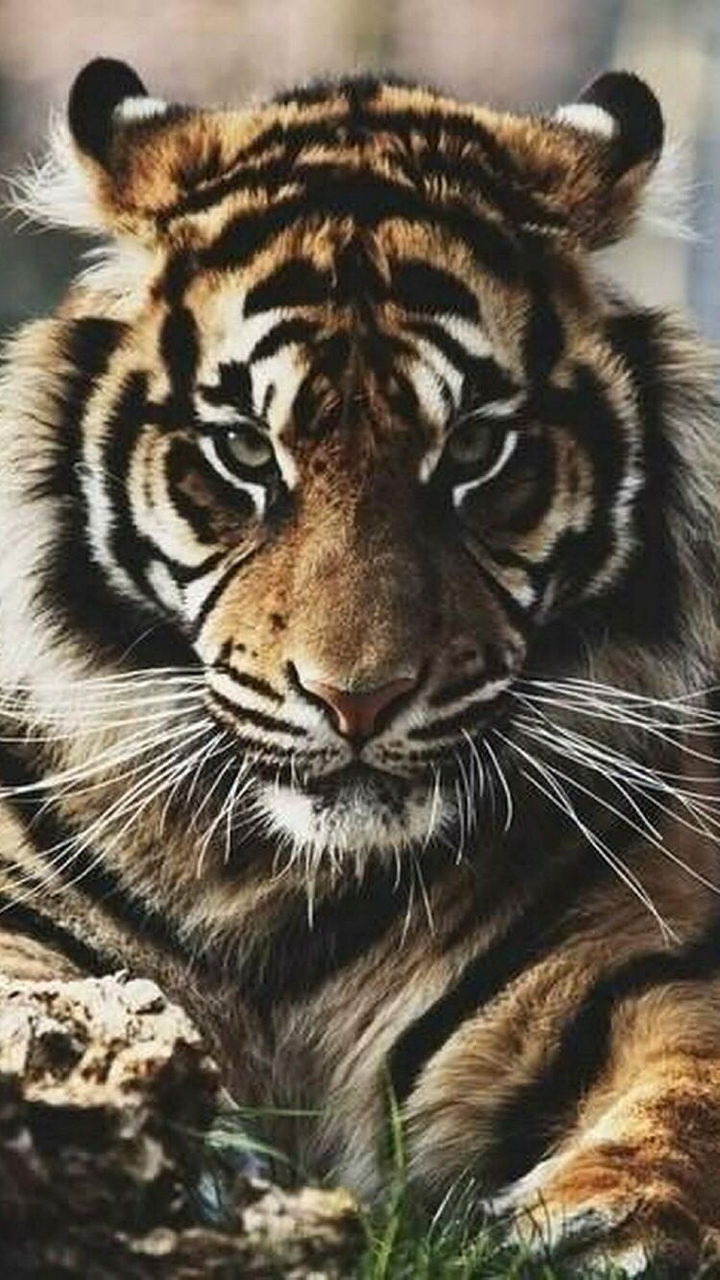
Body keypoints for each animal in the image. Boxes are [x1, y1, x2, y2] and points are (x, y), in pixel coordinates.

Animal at [2, 53, 720, 1273]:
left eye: (475, 449)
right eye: (245, 451)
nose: (358, 699)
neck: (286, 885)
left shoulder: (651, 946)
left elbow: (693, 1082)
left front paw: (610, 1223)